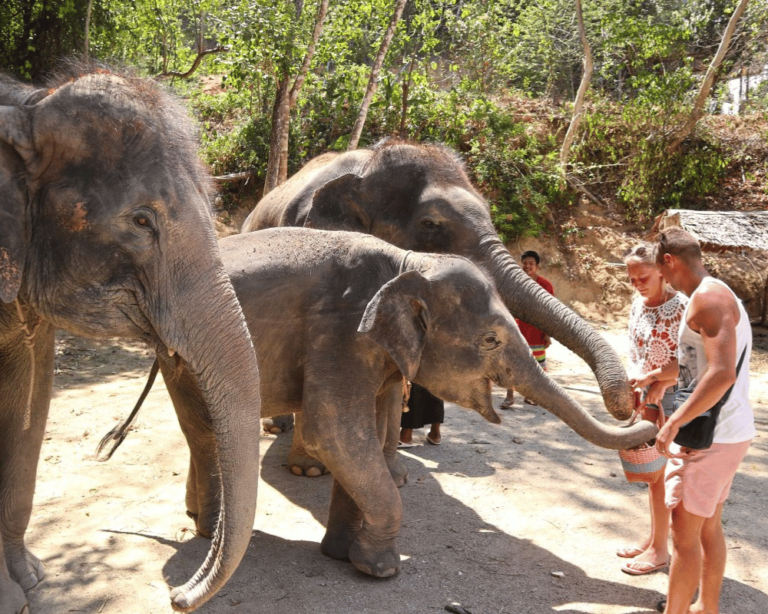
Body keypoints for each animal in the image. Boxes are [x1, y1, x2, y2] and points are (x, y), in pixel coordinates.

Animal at [108, 227, 656, 584]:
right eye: (492, 341)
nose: (639, 410)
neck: (409, 261)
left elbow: (360, 437)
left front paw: (340, 556)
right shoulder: (340, 332)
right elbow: (334, 433)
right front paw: (380, 570)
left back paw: (200, 520)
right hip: (186, 354)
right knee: (203, 431)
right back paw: (208, 533)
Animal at [243, 141, 640, 476]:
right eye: (430, 224)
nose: (626, 406)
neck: (368, 165)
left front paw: (395, 474)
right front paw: (309, 471)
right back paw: (277, 429)